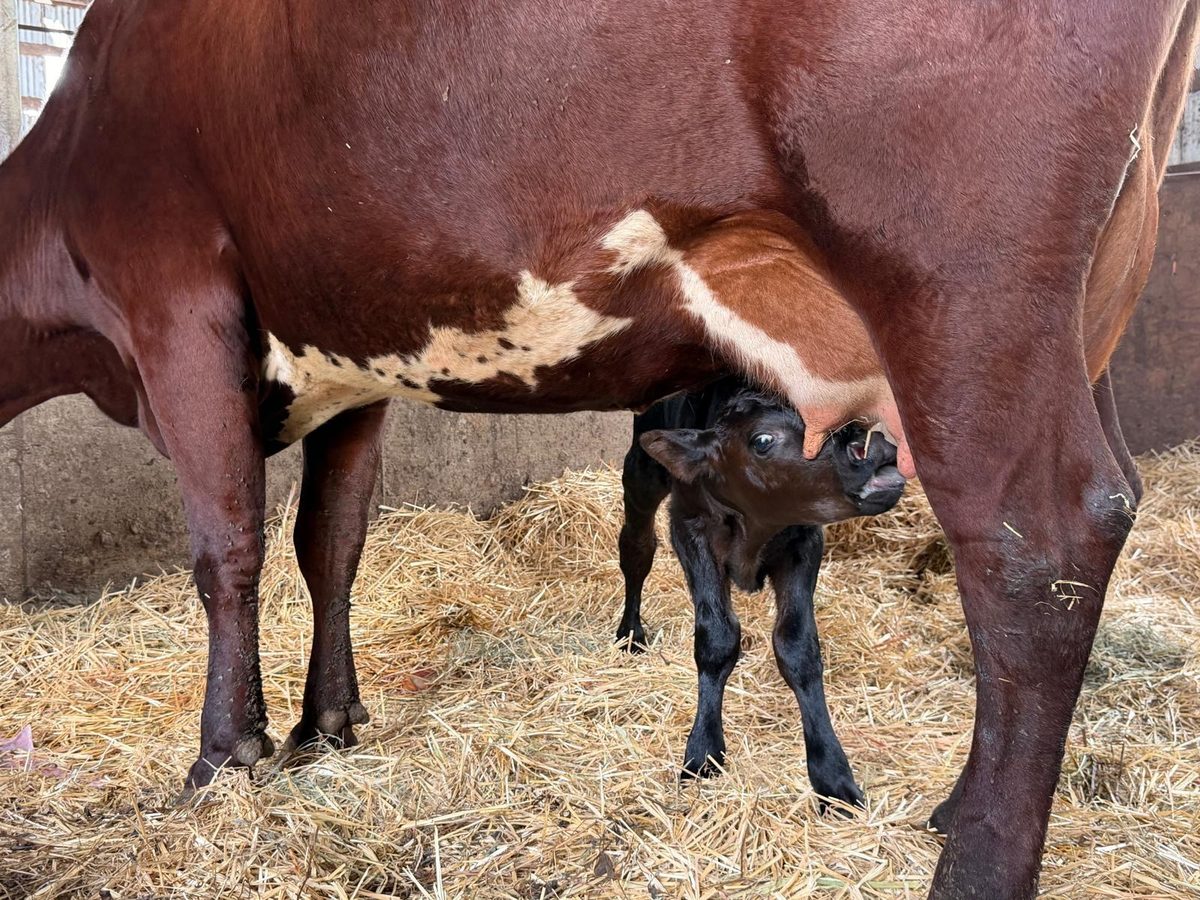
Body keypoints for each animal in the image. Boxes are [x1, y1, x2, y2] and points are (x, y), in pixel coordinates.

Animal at [616, 375, 906, 811]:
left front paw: (831, 774)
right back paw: (630, 632)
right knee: (636, 547)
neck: (757, 526)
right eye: (763, 440)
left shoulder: (804, 541)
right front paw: (703, 752)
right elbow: (716, 639)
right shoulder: (689, 527)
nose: (871, 448)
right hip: (642, 472)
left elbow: (797, 647)